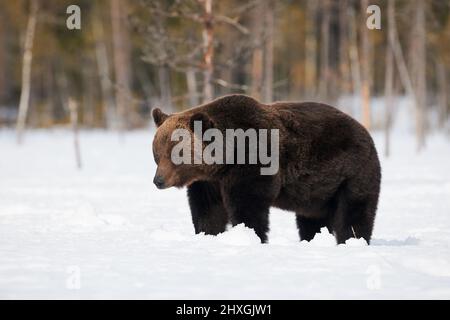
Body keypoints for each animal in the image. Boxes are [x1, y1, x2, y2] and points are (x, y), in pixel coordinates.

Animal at [151, 94, 380, 244]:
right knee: (312, 220)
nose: (158, 180)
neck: (225, 158)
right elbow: (209, 209)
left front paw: (251, 235)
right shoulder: (209, 181)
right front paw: (208, 233)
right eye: (157, 153)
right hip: (318, 192)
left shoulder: (252, 163)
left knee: (354, 212)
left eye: (176, 153)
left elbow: (248, 205)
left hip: (351, 173)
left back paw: (352, 240)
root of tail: (366, 132)